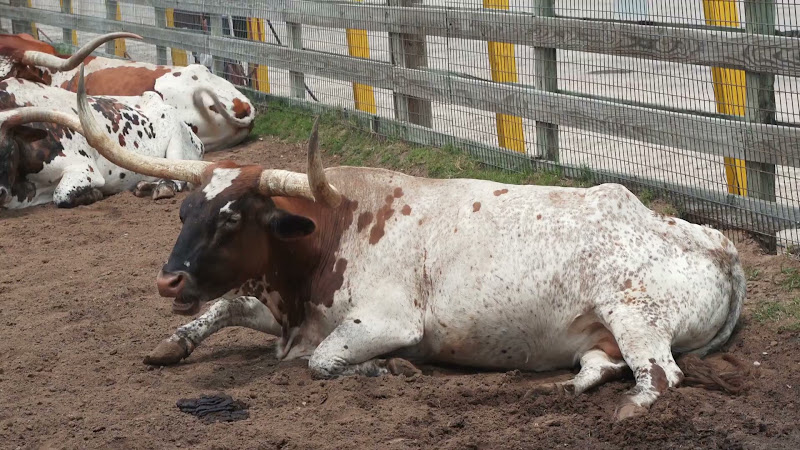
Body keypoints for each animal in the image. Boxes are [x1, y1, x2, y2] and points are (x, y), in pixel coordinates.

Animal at [0, 77, 204, 208]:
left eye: (8, 149)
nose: (1, 193)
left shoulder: (85, 169)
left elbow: (61, 195)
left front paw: (94, 194)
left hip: (176, 142)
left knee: (178, 176)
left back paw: (162, 187)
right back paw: (145, 186)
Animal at [75, 65, 746, 421]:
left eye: (233, 218)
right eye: (186, 210)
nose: (168, 279)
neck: (331, 233)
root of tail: (714, 240)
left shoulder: (385, 322)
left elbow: (323, 362)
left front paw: (389, 369)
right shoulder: (283, 307)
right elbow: (224, 306)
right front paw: (172, 341)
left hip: (635, 316)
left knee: (659, 377)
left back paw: (623, 409)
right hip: (606, 332)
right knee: (601, 364)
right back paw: (560, 385)